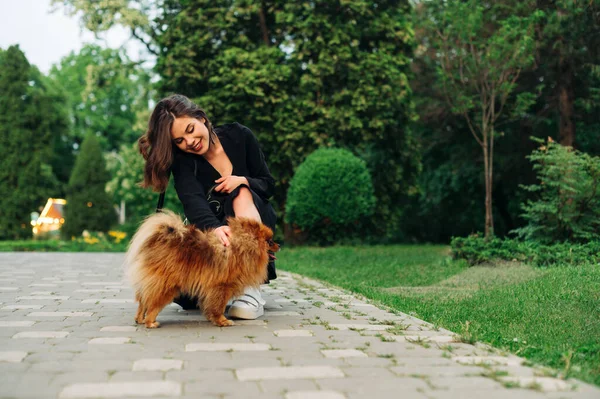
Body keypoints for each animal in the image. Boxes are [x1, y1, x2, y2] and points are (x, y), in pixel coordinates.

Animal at [125, 209, 280, 328]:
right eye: (270, 241)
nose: (279, 245)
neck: (240, 247)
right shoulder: (221, 287)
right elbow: (218, 306)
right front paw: (222, 321)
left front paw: (214, 319)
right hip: (167, 285)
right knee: (152, 304)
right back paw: (150, 322)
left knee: (143, 300)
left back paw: (139, 319)